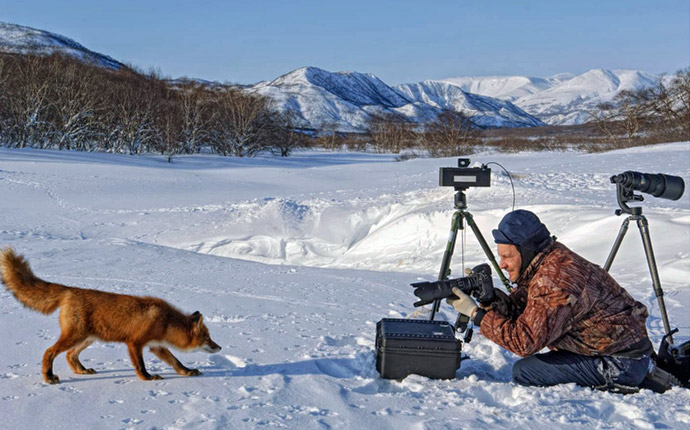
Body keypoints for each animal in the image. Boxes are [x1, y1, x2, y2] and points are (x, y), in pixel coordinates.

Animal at [0, 247, 220, 384]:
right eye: (207, 338)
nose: (220, 347)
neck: (165, 321)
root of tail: (70, 290)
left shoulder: (157, 346)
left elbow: (176, 362)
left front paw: (187, 371)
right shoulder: (135, 342)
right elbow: (140, 366)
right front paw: (147, 378)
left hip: (88, 338)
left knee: (71, 355)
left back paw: (82, 370)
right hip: (76, 336)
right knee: (49, 351)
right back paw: (48, 377)